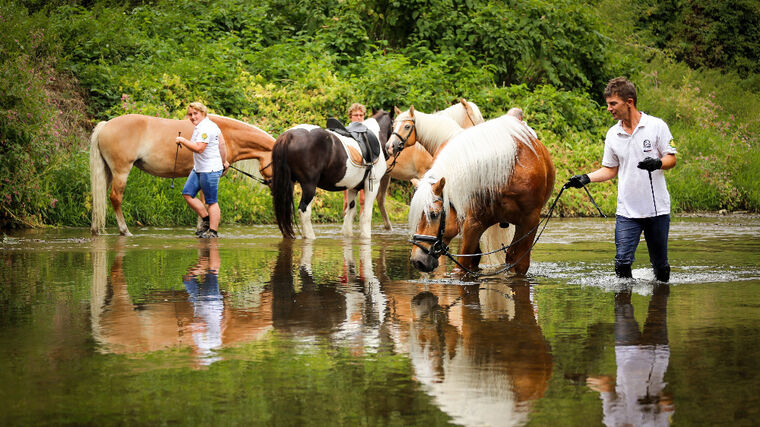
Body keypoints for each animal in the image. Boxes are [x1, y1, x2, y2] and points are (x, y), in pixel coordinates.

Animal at [91, 113, 276, 237]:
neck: (225, 133)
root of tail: (105, 125)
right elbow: (206, 204)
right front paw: (205, 229)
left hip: (108, 173)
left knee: (98, 198)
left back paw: (95, 229)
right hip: (121, 171)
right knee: (115, 198)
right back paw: (124, 231)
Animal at [270, 110, 392, 241]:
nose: (392, 148)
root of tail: (289, 135)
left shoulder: (352, 188)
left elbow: (350, 213)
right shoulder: (372, 185)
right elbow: (366, 215)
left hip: (289, 183)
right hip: (309, 186)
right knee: (304, 211)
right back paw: (310, 236)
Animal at [404, 112, 560, 276]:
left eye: (433, 214)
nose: (417, 261)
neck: (506, 172)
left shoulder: (529, 223)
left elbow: (518, 264)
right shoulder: (473, 223)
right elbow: (463, 266)